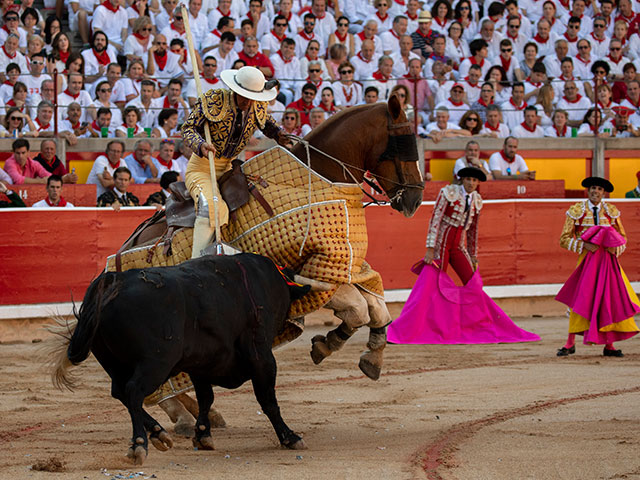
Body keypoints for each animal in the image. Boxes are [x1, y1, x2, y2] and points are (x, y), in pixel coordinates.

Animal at [52, 253, 310, 464]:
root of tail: (115, 281)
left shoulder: (202, 365)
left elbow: (206, 398)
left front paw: (203, 435)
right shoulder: (262, 358)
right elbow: (268, 400)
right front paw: (290, 437)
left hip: (114, 363)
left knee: (121, 392)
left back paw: (159, 434)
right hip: (156, 363)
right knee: (134, 391)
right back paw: (139, 445)